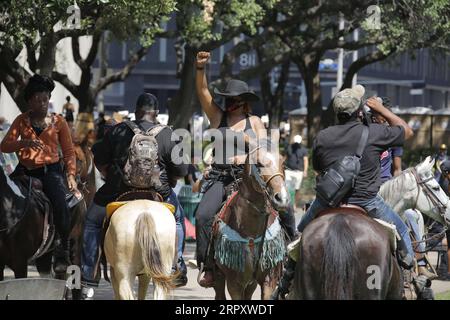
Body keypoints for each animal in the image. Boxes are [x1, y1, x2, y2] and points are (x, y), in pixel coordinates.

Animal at [210, 148, 288, 300]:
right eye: (258, 164)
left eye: (283, 163)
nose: (281, 198)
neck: (252, 231)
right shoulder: (234, 284)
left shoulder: (268, 281)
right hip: (219, 276)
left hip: (251, 283)